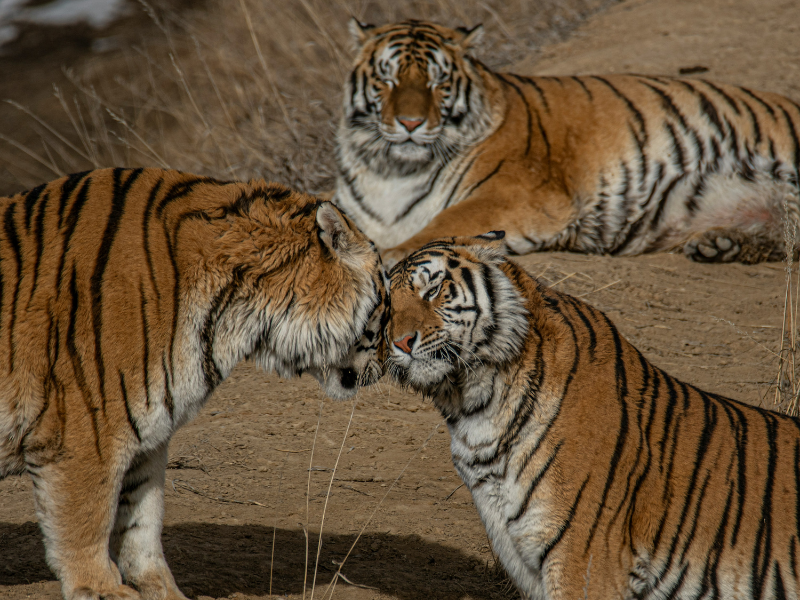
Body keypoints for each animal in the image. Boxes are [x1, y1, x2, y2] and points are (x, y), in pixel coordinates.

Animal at [0, 167, 386, 600]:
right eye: (385, 299)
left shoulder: (146, 439)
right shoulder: (84, 433)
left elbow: (142, 520)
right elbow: (88, 519)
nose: (389, 360)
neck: (239, 314)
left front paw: (160, 589)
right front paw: (102, 588)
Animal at [335, 19, 800, 267]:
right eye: (387, 79)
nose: (410, 123)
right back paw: (718, 244)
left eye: (438, 82)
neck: (391, 169)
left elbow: (445, 222)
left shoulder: (514, 193)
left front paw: (390, 254)